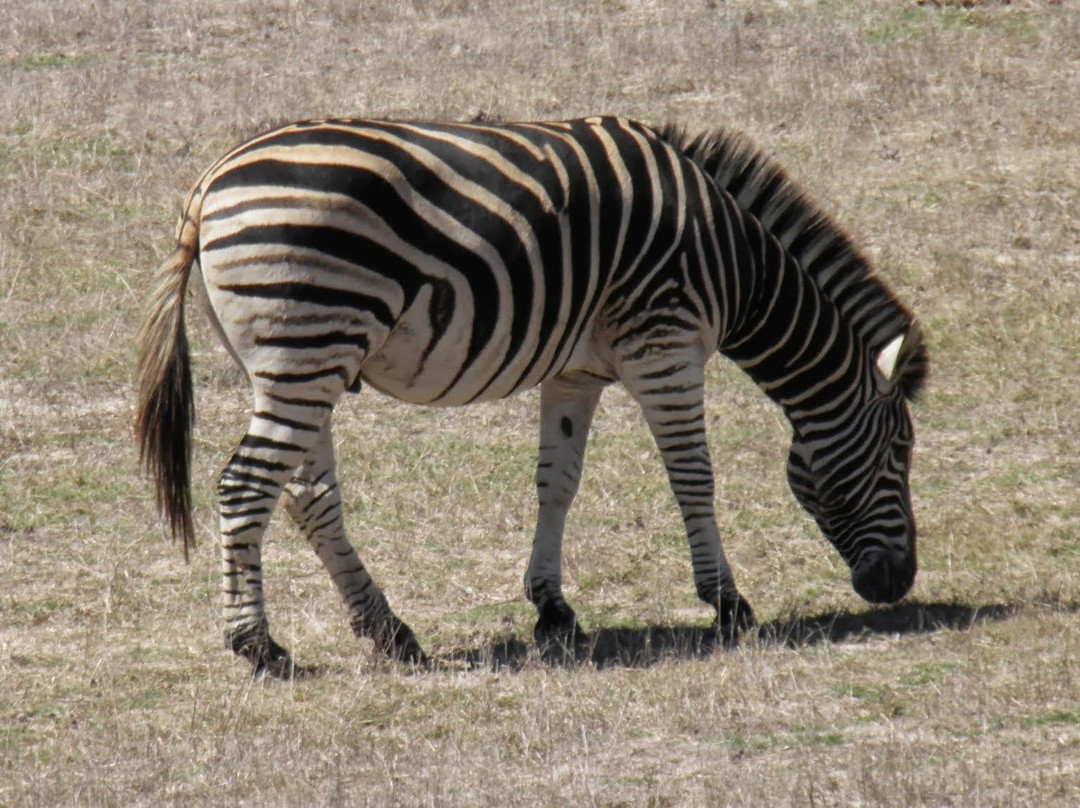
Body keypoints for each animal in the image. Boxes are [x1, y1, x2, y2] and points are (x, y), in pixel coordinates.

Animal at [135, 113, 928, 678]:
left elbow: (558, 482)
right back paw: (258, 647)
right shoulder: (665, 343)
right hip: (310, 344)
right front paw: (728, 604)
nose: (899, 584)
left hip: (299, 363)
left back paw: (390, 633)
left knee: (309, 497)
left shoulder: (575, 370)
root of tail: (210, 184)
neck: (736, 262)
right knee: (245, 486)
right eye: (899, 454)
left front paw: (553, 609)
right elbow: (693, 478)